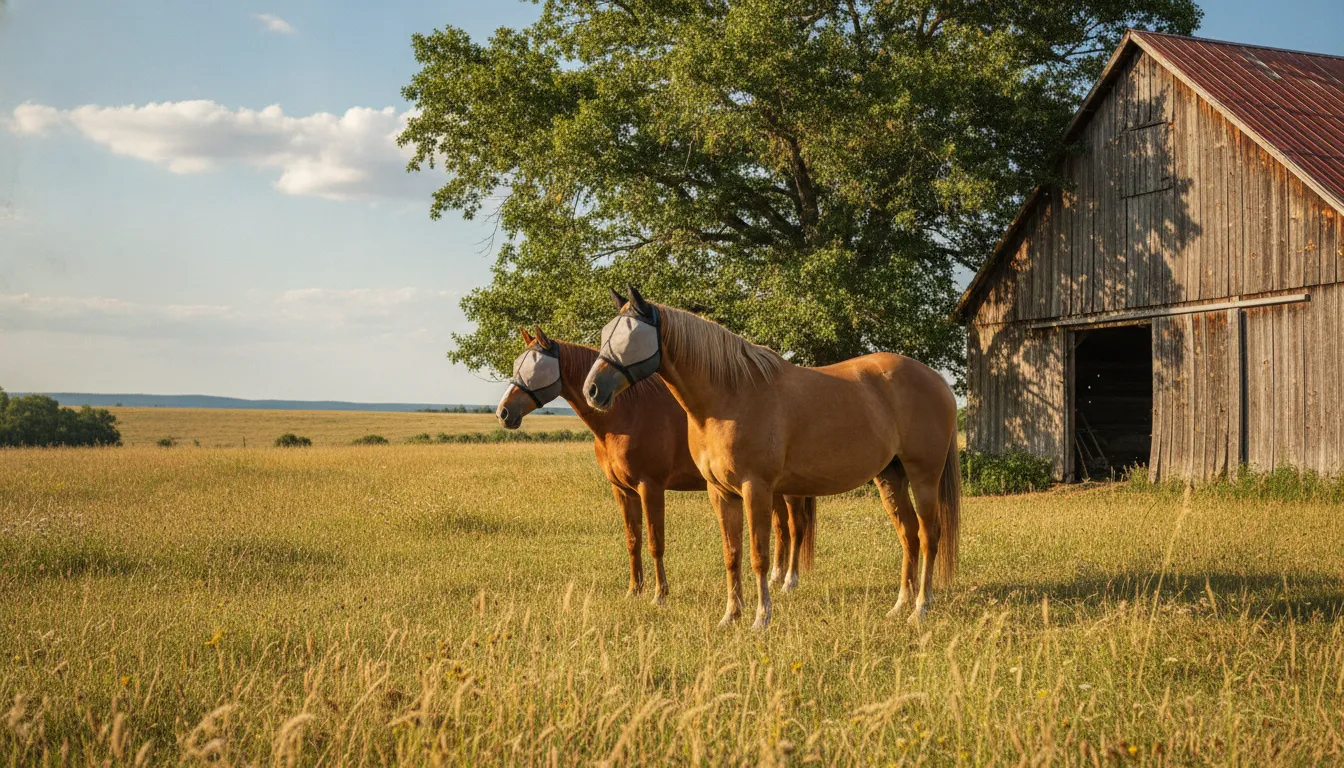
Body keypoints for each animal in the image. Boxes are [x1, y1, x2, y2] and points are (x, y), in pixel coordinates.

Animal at [496, 326, 818, 603]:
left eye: (535, 366)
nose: (503, 412)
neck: (627, 415)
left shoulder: (650, 487)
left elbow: (654, 541)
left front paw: (659, 594)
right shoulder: (622, 490)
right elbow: (633, 540)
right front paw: (633, 590)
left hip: (788, 490)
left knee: (795, 527)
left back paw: (789, 581)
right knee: (780, 528)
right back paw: (776, 577)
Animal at [583, 287, 960, 629]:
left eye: (631, 335)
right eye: (605, 334)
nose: (592, 390)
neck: (730, 396)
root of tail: (937, 381)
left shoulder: (757, 488)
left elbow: (759, 557)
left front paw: (761, 617)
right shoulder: (720, 493)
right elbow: (732, 554)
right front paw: (730, 615)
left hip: (924, 476)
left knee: (929, 535)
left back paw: (920, 609)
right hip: (890, 476)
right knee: (908, 534)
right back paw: (899, 605)